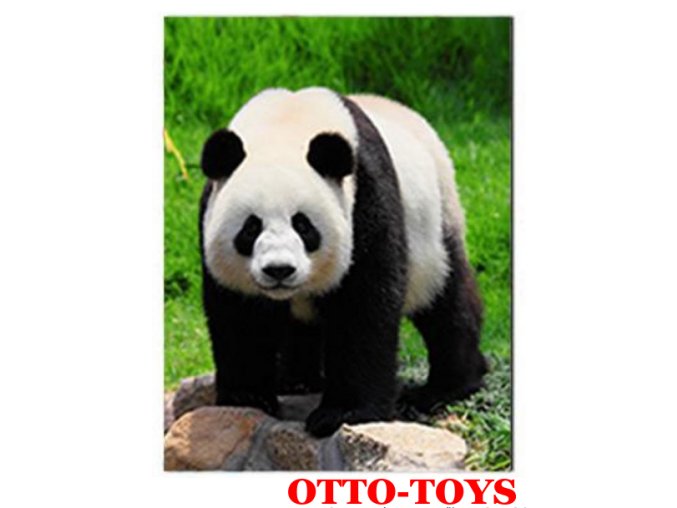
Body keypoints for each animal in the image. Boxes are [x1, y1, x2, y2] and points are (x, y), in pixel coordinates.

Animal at [199, 87, 486, 437]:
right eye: (251, 228)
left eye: (303, 225)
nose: (279, 270)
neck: (286, 125)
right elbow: (240, 315)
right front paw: (247, 397)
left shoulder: (367, 200)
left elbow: (363, 306)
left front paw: (342, 413)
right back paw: (296, 380)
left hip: (436, 226)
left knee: (446, 302)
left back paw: (445, 387)